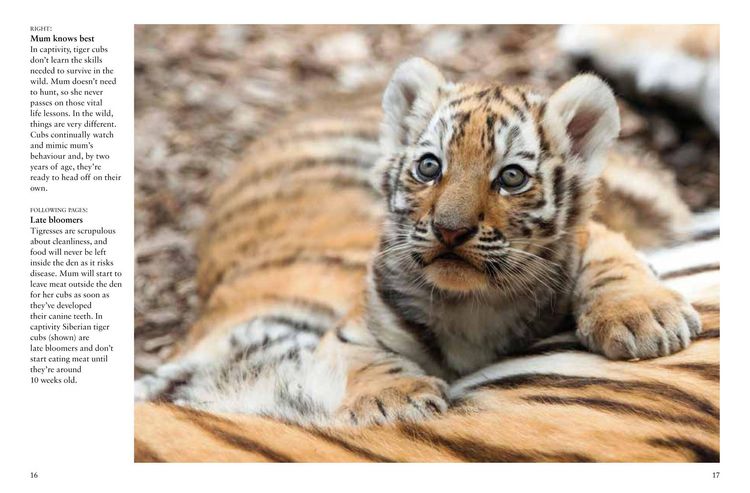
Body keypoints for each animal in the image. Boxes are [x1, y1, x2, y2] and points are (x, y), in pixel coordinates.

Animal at [135, 58, 717, 459]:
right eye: (430, 167)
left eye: (511, 177)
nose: (450, 230)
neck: (474, 304)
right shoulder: (359, 318)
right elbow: (366, 356)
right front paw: (395, 399)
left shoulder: (584, 239)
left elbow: (612, 259)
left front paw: (644, 320)